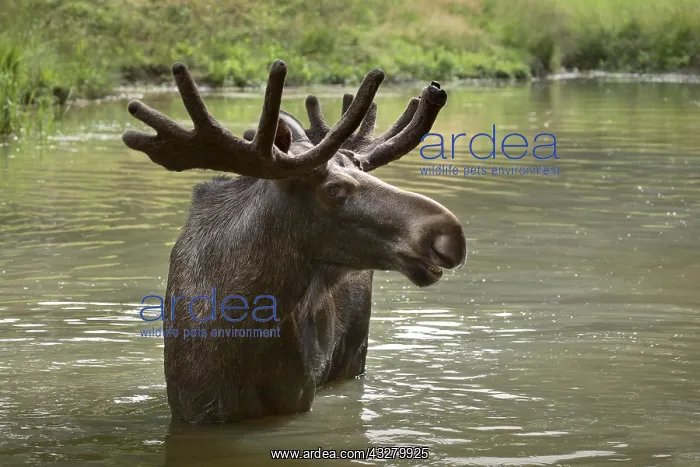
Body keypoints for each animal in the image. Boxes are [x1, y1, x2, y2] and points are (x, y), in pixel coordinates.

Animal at [122, 60, 467, 423]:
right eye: (333, 190)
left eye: (363, 169)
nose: (449, 232)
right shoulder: (191, 408)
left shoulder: (298, 397)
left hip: (354, 352)